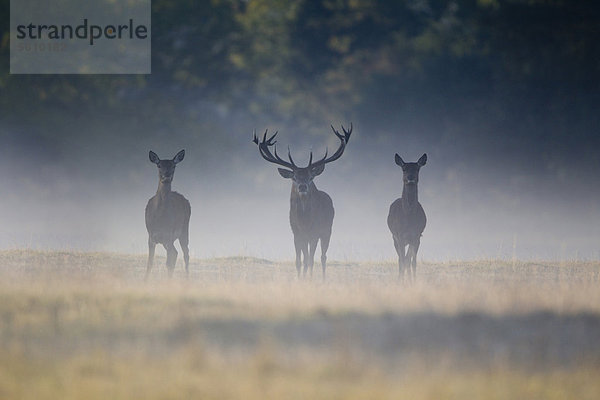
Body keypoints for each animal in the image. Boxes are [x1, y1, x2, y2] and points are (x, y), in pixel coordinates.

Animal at [145, 149, 190, 278]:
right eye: (159, 165)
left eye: (174, 165)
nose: (166, 176)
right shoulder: (151, 236)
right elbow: (150, 263)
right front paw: (145, 280)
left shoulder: (169, 235)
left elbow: (168, 263)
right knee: (176, 253)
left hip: (184, 230)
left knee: (185, 254)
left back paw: (187, 278)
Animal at [253, 124, 352, 278]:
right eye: (294, 177)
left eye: (311, 177)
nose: (302, 186)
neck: (304, 222)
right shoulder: (296, 233)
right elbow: (299, 261)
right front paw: (300, 279)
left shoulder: (314, 233)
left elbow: (310, 260)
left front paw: (309, 279)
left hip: (327, 230)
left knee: (322, 257)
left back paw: (323, 279)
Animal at [390, 153, 426, 282]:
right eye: (404, 168)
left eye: (417, 168)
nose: (410, 178)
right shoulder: (400, 236)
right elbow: (402, 260)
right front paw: (401, 281)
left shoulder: (417, 236)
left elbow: (413, 262)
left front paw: (413, 282)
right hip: (394, 237)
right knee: (401, 259)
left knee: (408, 259)